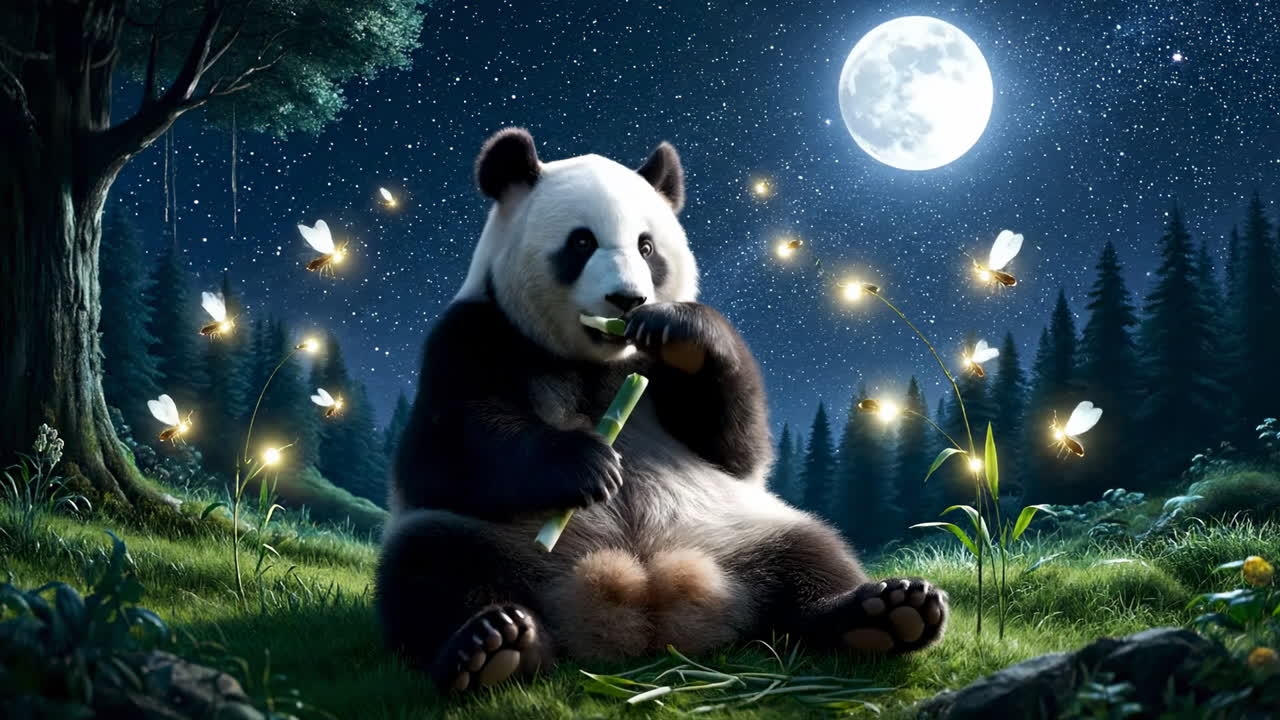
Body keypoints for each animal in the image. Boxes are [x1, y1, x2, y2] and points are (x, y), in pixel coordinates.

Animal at [376, 128, 949, 693]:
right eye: (581, 242)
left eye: (647, 246)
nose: (628, 300)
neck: (599, 361)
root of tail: (643, 600)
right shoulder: (475, 334)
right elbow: (443, 450)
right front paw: (587, 465)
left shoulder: (658, 374)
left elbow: (739, 448)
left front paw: (684, 331)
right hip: (502, 541)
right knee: (430, 569)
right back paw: (496, 646)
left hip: (742, 528)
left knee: (812, 554)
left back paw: (887, 613)